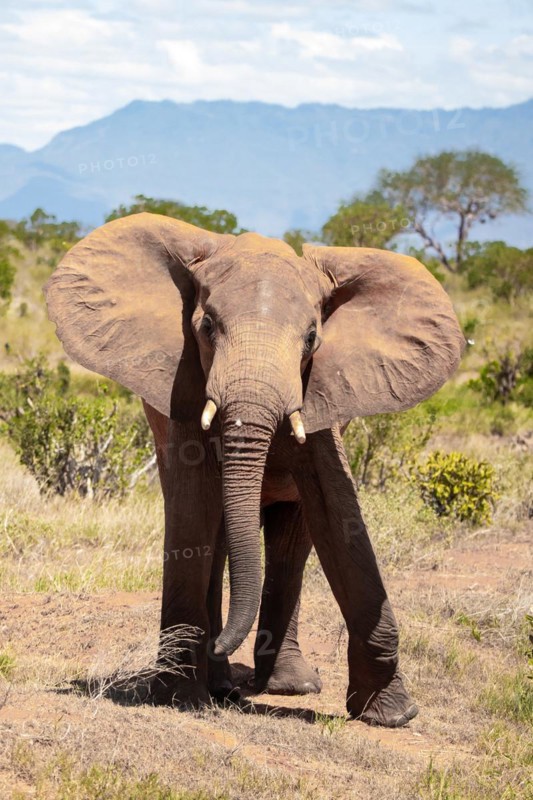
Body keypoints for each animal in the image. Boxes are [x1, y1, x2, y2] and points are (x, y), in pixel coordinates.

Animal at [44, 213, 464, 727]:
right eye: (206, 326)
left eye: (311, 338)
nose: (223, 645)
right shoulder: (184, 384)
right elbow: (193, 508)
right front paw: (178, 697)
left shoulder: (319, 393)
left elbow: (338, 513)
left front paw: (393, 716)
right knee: (218, 531)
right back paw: (223, 683)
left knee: (290, 540)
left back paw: (286, 685)